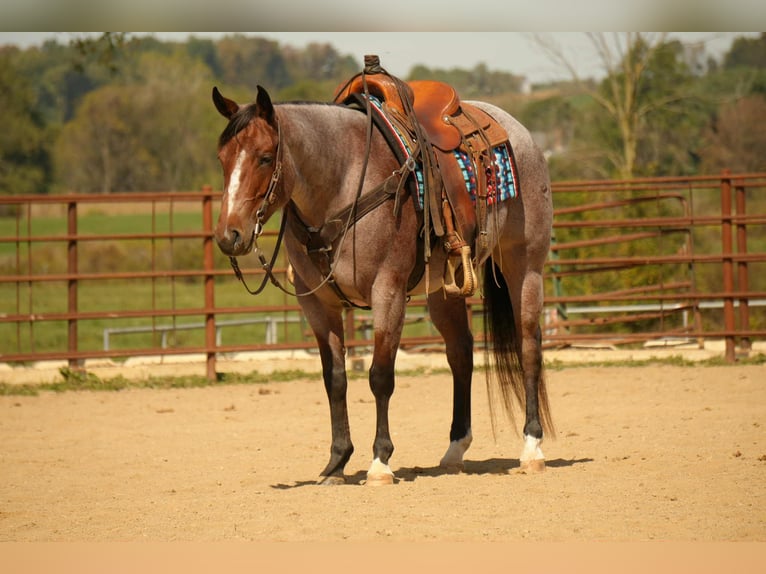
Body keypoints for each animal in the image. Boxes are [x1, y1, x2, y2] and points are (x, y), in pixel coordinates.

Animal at [211, 74, 554, 485]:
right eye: (222, 159)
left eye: (264, 157)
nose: (229, 235)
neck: (342, 184)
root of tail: (521, 134)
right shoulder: (316, 303)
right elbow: (334, 378)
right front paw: (336, 463)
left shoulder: (387, 291)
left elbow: (380, 375)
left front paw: (380, 462)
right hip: (445, 289)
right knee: (461, 353)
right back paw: (455, 450)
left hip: (525, 266)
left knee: (529, 345)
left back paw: (532, 449)